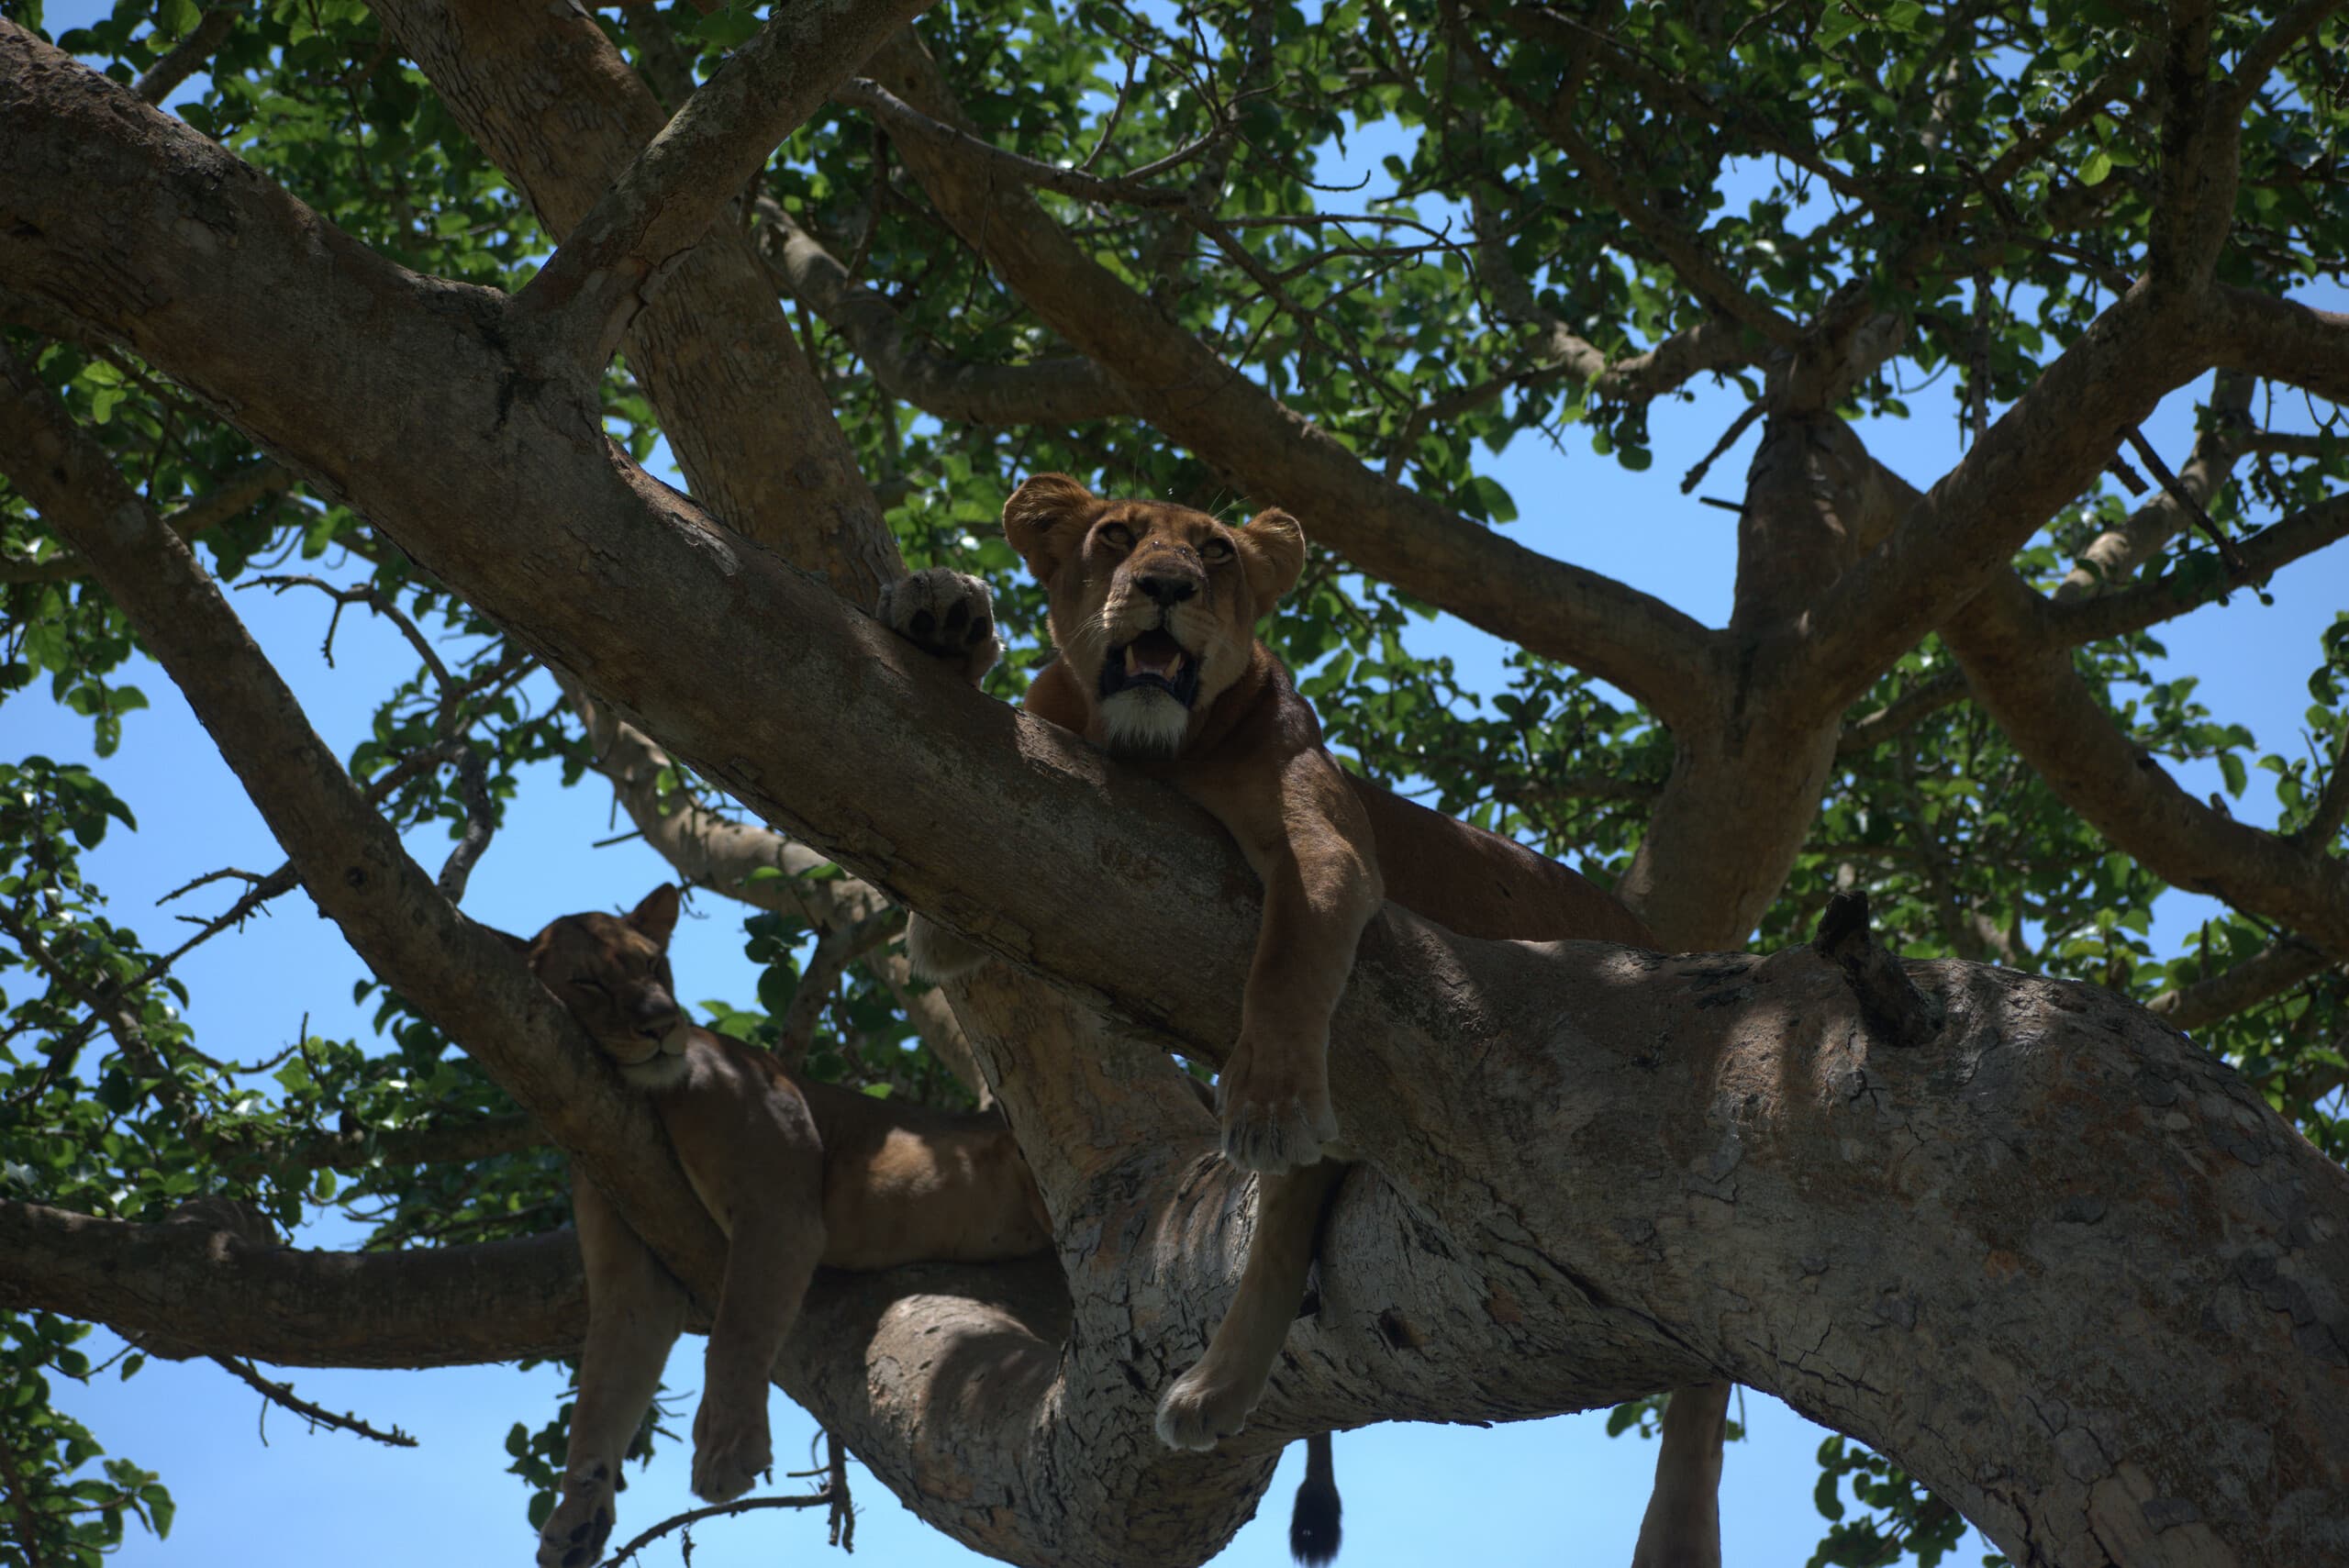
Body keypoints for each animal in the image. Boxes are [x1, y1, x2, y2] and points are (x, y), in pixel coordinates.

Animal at [519, 885, 1051, 1568]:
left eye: (652, 965)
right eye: (586, 981)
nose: (662, 1024)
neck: (637, 1096)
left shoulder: (778, 1210)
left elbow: (736, 1333)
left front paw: (727, 1452)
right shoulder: (632, 1273)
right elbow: (600, 1395)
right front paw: (577, 1515)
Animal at [882, 475, 1686, 1563]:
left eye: (1215, 551)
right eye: (1115, 536)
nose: (1167, 586)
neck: (1152, 752)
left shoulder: (1325, 845)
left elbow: (1288, 962)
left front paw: (1264, 1101)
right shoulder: (973, 855)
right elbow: (937, 879)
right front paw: (943, 618)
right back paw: (1212, 1390)